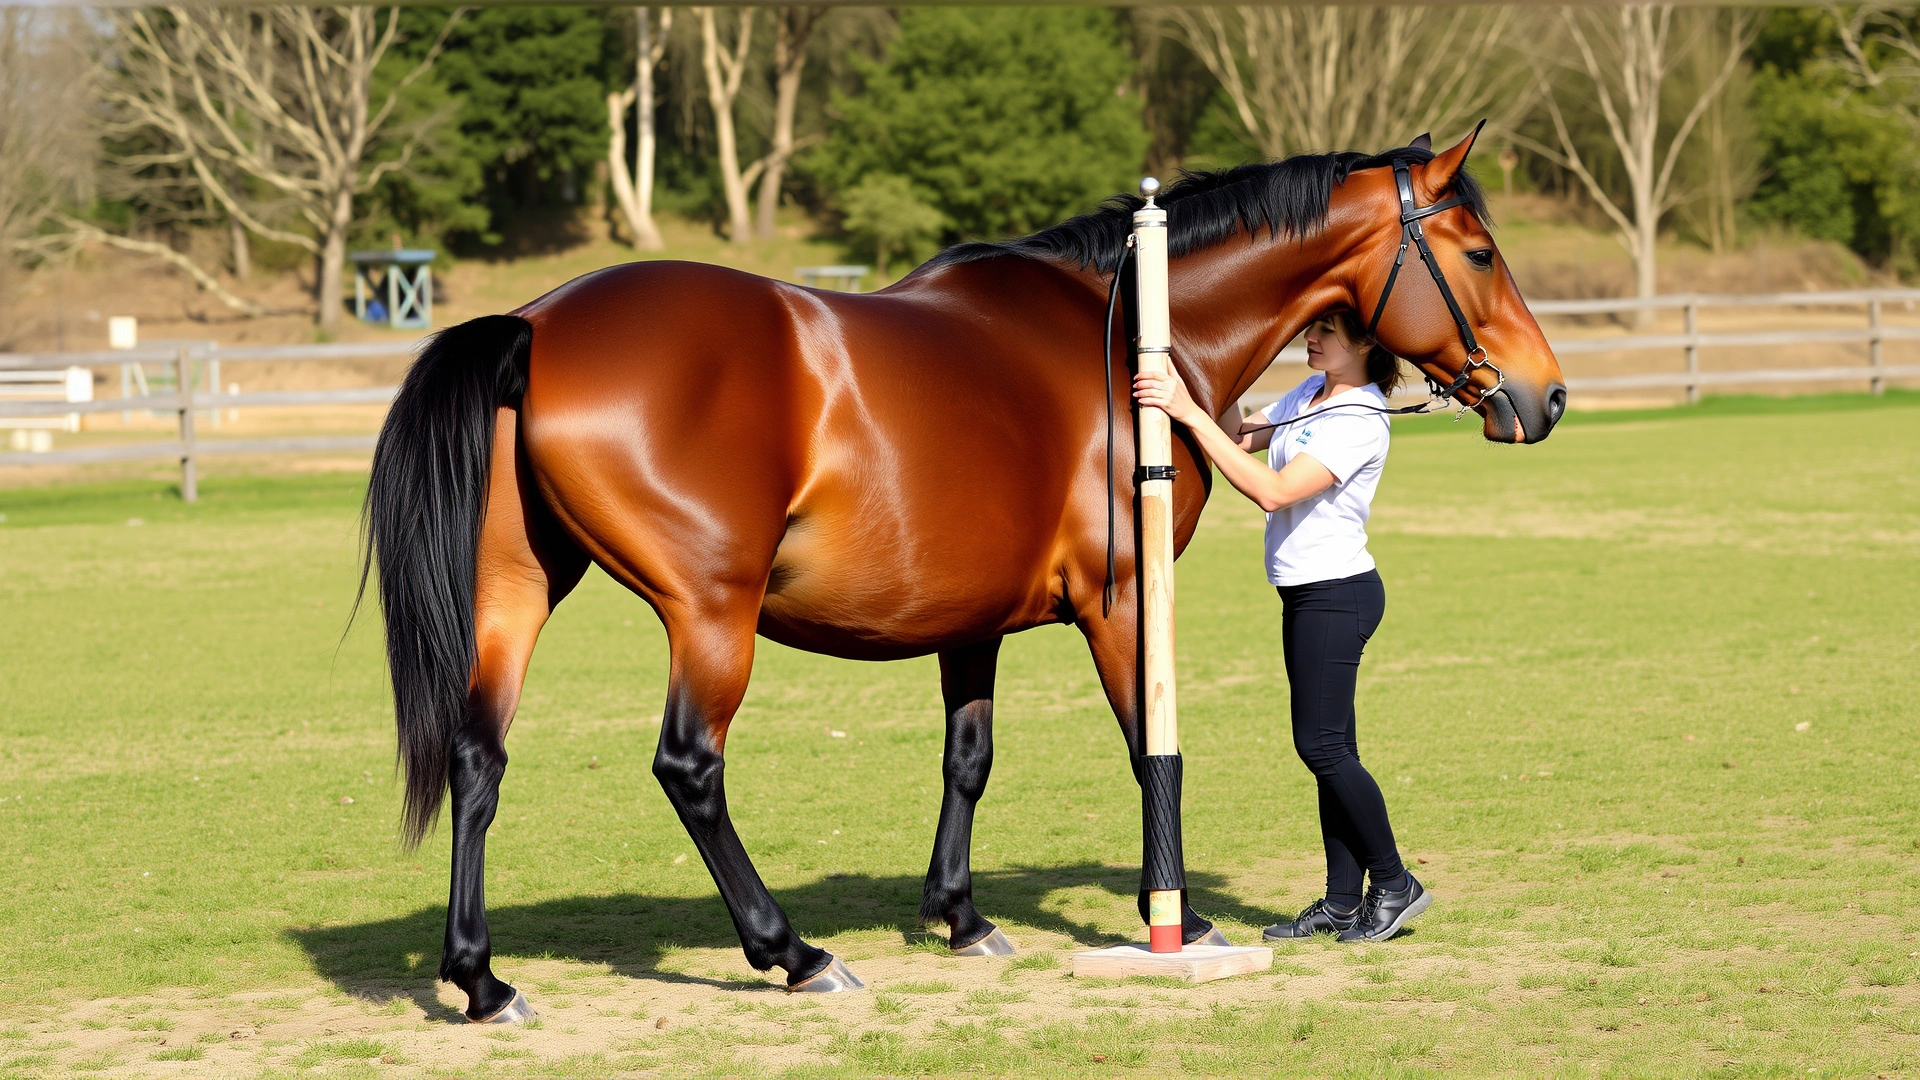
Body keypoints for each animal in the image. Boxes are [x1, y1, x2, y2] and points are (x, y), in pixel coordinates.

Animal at [360, 128, 1566, 1021]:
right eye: (1479, 254)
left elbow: (969, 759)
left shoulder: (969, 620)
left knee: (478, 758)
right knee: (689, 768)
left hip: (516, 596)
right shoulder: (1123, 608)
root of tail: (533, 324)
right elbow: (1148, 745)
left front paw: (963, 916)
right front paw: (1173, 918)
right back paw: (793, 954)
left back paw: (481, 979)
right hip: (710, 612)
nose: (1545, 397)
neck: (1128, 337)